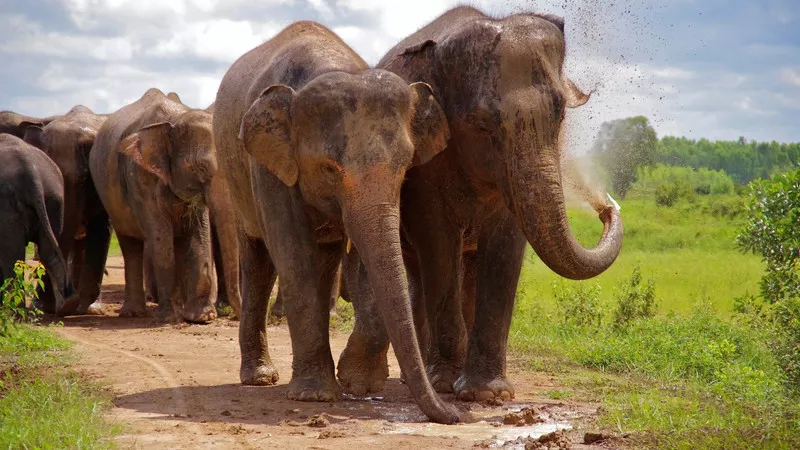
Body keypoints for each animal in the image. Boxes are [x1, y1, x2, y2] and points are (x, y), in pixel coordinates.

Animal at [88, 88, 222, 322]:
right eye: (198, 168)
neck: (174, 120)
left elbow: (200, 236)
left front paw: (203, 318)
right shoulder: (140, 178)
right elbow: (161, 239)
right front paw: (169, 319)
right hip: (114, 204)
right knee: (131, 246)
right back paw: (134, 313)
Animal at [212, 19, 460, 424]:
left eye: (405, 166)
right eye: (329, 169)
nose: (454, 414)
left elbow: (363, 262)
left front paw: (358, 383)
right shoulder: (270, 166)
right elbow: (294, 258)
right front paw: (315, 396)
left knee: (325, 258)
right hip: (237, 179)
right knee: (260, 260)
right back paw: (260, 378)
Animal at [340, 6, 624, 400]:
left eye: (562, 114)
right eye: (482, 123)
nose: (606, 206)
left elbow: (506, 244)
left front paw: (487, 394)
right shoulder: (426, 166)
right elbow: (438, 242)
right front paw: (447, 385)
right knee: (420, 269)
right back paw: (426, 378)